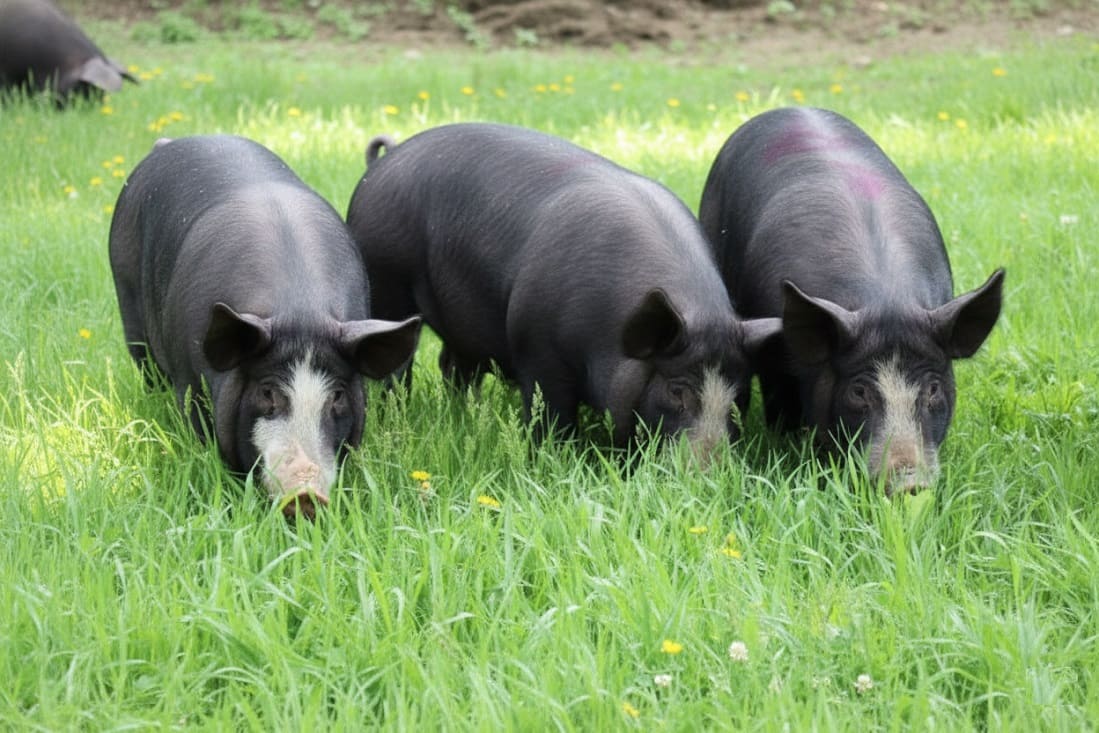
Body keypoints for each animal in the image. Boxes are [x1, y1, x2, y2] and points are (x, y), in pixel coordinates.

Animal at [109, 135, 422, 518]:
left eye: (336, 396)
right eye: (268, 392)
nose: (306, 495)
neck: (300, 309)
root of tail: (166, 143)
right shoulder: (189, 379)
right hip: (128, 304)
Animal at [346, 122, 780, 459]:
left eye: (740, 395)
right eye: (678, 390)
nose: (709, 472)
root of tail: (385, 160)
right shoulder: (537, 350)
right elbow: (551, 417)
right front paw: (552, 457)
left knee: (455, 366)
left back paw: (464, 414)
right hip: (386, 281)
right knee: (397, 371)